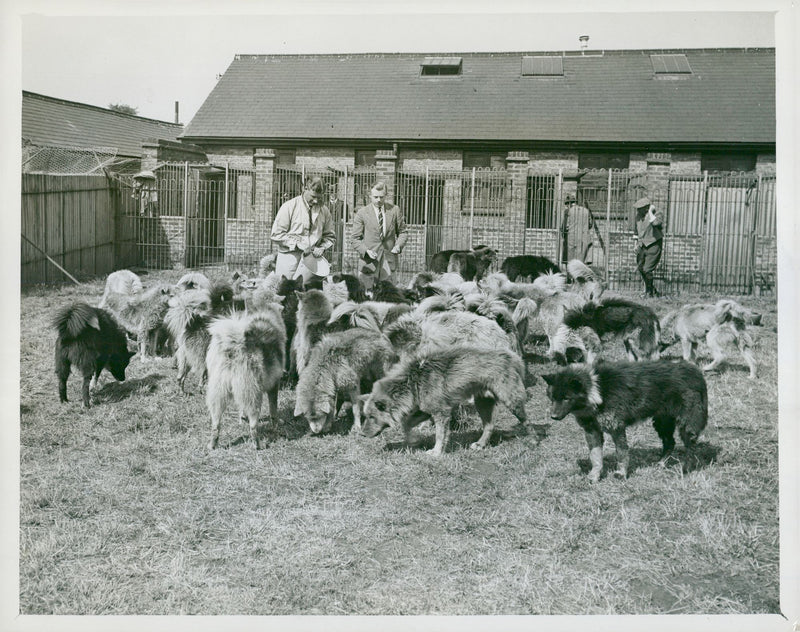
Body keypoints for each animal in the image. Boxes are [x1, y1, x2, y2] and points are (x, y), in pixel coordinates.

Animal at [205, 304, 286, 450]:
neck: (263, 316)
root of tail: (234, 348)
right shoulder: (274, 385)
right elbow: (273, 409)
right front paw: (276, 423)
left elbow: (242, 409)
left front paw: (242, 419)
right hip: (254, 395)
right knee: (253, 426)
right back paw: (257, 445)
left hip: (218, 395)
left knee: (216, 425)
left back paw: (212, 444)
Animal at [362, 346, 532, 454]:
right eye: (366, 416)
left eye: (372, 417)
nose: (362, 434)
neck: (412, 381)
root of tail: (511, 356)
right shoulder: (426, 411)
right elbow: (406, 424)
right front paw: (413, 440)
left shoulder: (441, 413)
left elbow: (439, 435)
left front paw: (436, 452)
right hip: (482, 403)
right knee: (489, 426)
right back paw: (481, 444)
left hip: (511, 401)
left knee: (527, 421)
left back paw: (533, 441)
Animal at [544, 358, 708, 482]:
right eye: (553, 398)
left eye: (566, 398)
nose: (553, 417)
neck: (598, 390)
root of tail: (695, 372)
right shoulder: (592, 431)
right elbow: (595, 457)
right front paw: (594, 476)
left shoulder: (617, 428)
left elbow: (622, 454)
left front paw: (621, 474)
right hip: (662, 423)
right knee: (670, 443)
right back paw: (661, 464)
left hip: (686, 425)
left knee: (691, 447)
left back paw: (685, 469)